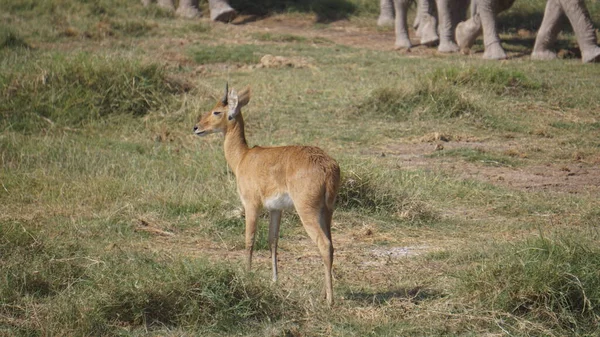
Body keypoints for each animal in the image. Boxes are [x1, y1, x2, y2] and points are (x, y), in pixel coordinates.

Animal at [195, 84, 340, 304]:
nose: (196, 127)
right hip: (327, 212)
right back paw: (324, 293)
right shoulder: (275, 209)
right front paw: (274, 280)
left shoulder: (251, 205)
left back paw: (329, 301)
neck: (243, 157)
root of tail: (328, 166)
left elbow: (250, 240)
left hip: (307, 212)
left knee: (324, 244)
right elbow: (273, 240)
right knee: (331, 245)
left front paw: (246, 275)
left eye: (217, 111)